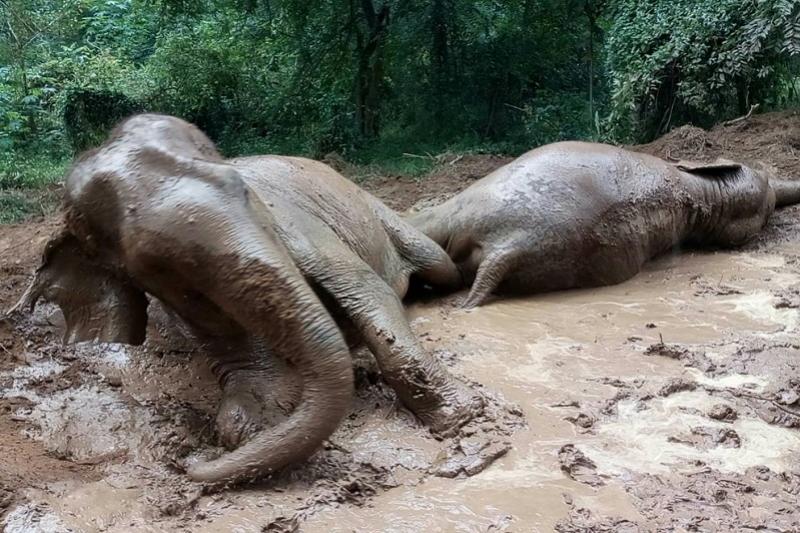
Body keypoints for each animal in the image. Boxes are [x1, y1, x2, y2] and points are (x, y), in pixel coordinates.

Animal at [8, 113, 483, 485]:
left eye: (243, 188)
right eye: (154, 266)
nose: (186, 467)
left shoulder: (294, 223)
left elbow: (369, 292)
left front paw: (465, 422)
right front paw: (258, 421)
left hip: (377, 210)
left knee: (438, 266)